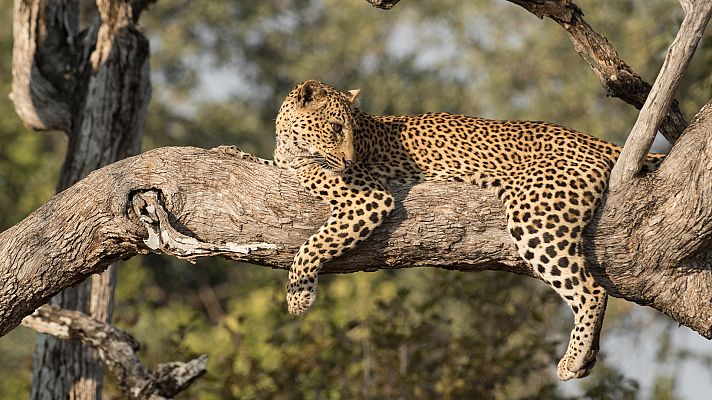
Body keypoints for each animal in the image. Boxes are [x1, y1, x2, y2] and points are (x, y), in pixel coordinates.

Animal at [272, 79, 660, 382]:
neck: (288, 147)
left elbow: (314, 243)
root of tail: (588, 138)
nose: (351, 160)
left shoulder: (369, 198)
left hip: (534, 217)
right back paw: (587, 358)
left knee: (591, 290)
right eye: (336, 128)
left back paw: (572, 360)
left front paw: (297, 296)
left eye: (351, 130)